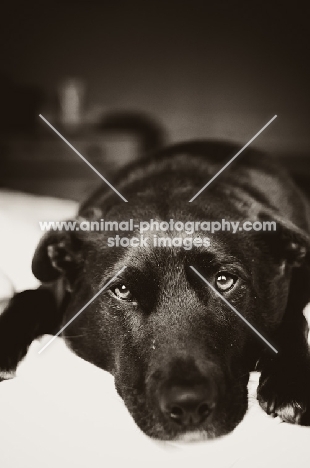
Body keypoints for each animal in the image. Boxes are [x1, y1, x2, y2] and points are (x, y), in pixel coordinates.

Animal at [0, 137, 310, 440]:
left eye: (224, 280)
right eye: (123, 290)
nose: (188, 405)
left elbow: (294, 318)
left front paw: (290, 379)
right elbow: (25, 298)